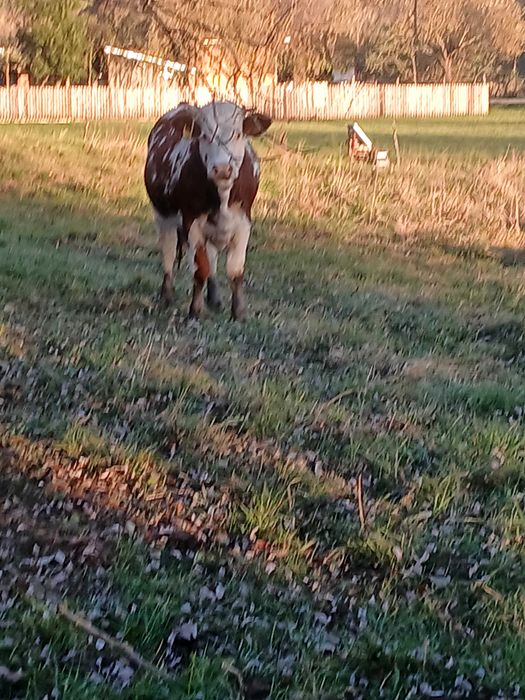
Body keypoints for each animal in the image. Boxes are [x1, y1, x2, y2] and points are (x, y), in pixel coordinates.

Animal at [144, 101, 272, 321]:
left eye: (238, 134)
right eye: (204, 135)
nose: (222, 169)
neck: (223, 196)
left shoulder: (243, 222)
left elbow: (235, 270)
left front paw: (239, 312)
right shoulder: (191, 223)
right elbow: (200, 269)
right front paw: (195, 310)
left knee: (211, 256)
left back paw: (215, 298)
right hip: (163, 215)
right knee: (169, 252)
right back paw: (167, 295)